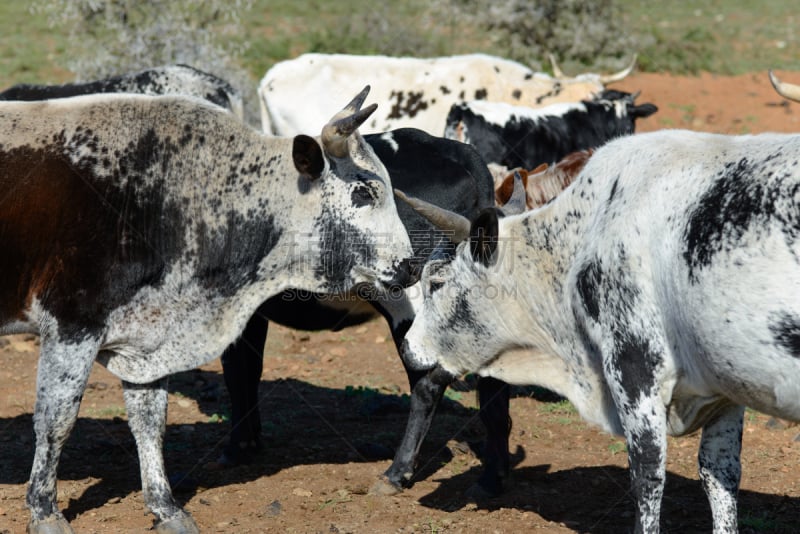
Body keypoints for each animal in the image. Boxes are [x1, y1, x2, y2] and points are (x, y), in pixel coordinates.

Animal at [0, 88, 412, 534]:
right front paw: (45, 511)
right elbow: (56, 421)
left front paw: (166, 507)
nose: (410, 265)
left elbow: (150, 423)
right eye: (363, 193)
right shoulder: (71, 325)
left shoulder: (146, 336)